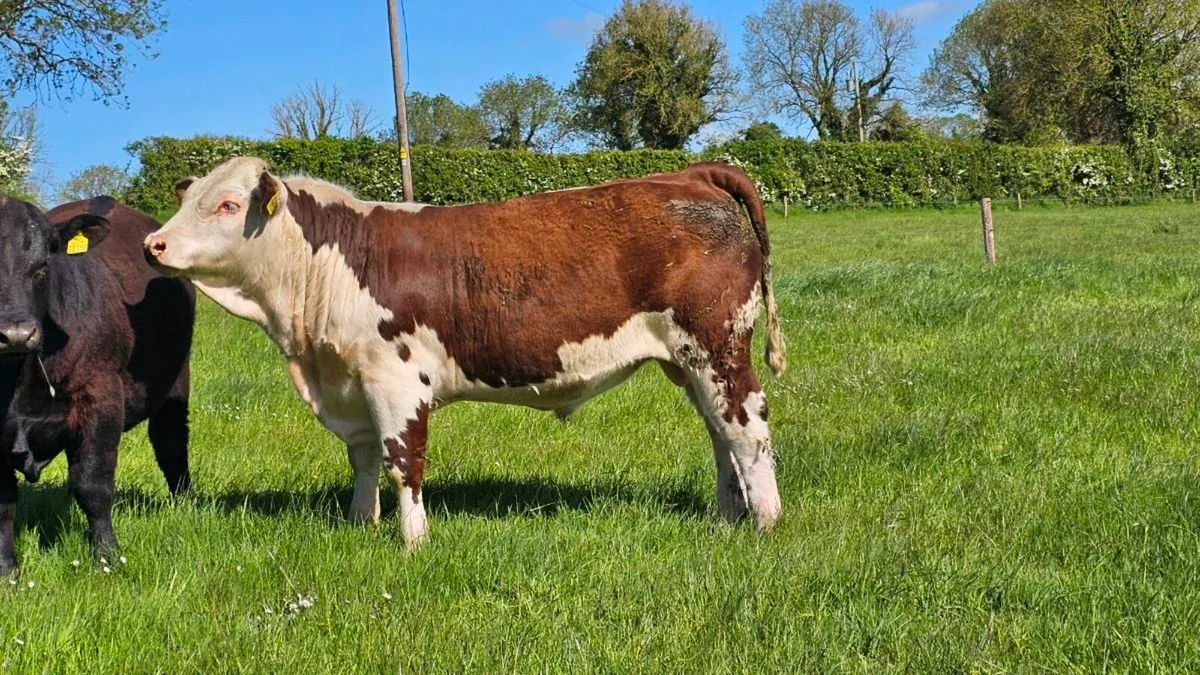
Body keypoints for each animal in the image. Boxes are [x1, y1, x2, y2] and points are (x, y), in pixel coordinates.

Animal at [0, 197, 194, 576]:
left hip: (176, 383)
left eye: (43, 267)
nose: (16, 333)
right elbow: (3, 505)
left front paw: (107, 557)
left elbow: (93, 485)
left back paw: (185, 502)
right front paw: (7, 570)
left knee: (170, 442)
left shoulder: (102, 398)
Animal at [145, 157, 786, 549]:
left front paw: (412, 542)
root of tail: (689, 174)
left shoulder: (396, 381)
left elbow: (403, 462)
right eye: (190, 196)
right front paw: (360, 526)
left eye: (228, 205)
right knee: (719, 432)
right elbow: (363, 459)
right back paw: (727, 519)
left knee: (746, 427)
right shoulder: (348, 381)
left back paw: (766, 523)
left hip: (717, 345)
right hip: (687, 362)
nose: (155, 244)